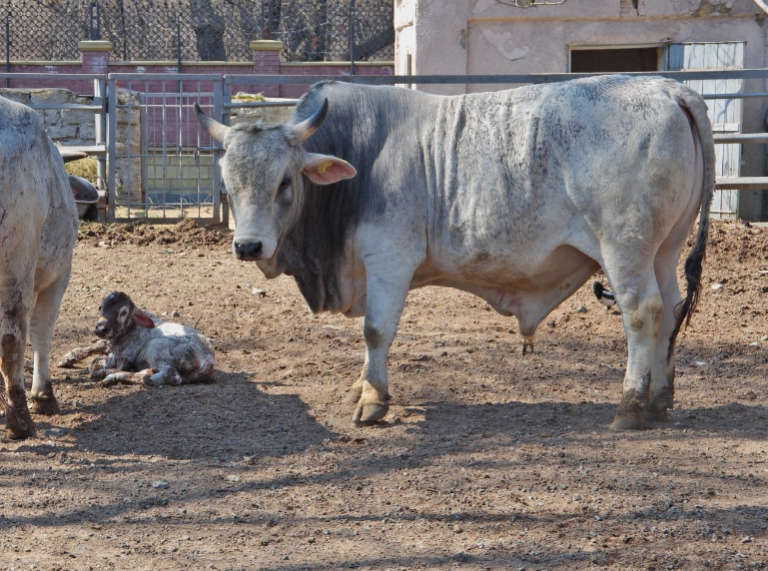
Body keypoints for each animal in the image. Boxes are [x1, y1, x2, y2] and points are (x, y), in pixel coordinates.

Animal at [58, 290, 214, 388]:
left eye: (123, 312)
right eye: (100, 307)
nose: (101, 328)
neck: (131, 329)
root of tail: (208, 359)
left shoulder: (122, 355)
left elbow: (95, 362)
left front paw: (101, 368)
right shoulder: (110, 343)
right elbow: (96, 345)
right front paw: (67, 358)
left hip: (156, 349)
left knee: (169, 376)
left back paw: (109, 376)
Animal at [196, 78, 712, 432]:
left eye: (285, 181)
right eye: (227, 182)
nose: (248, 246)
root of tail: (671, 89)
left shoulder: (389, 260)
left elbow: (376, 331)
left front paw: (373, 399)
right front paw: (360, 387)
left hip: (624, 246)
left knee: (642, 313)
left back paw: (631, 407)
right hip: (663, 250)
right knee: (671, 309)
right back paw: (659, 400)